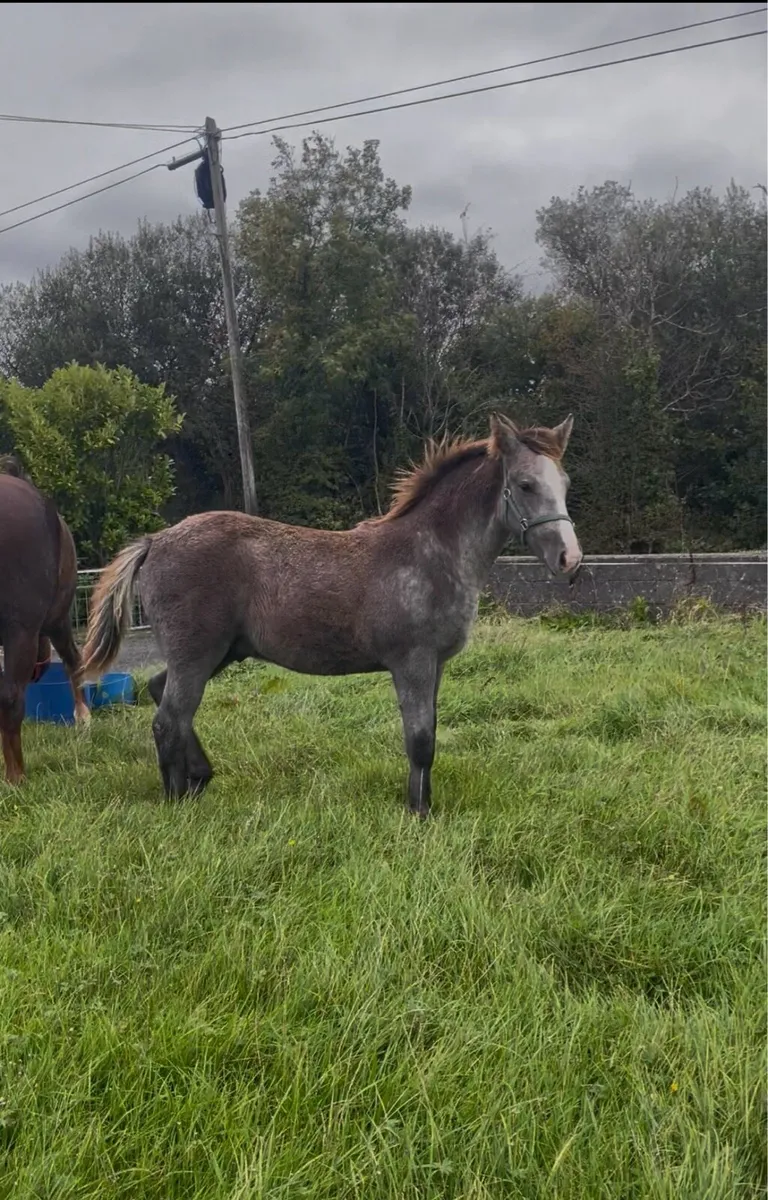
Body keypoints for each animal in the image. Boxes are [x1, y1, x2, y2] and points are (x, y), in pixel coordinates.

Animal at [80, 413, 582, 816]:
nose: (570, 559)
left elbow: (431, 734)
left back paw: (200, 779)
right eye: (525, 485)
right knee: (168, 720)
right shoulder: (412, 663)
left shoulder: (435, 666)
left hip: (219, 654)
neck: (429, 554)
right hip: (197, 655)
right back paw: (176, 801)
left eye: (564, 483)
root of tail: (155, 541)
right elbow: (420, 739)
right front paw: (419, 814)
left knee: (163, 695)